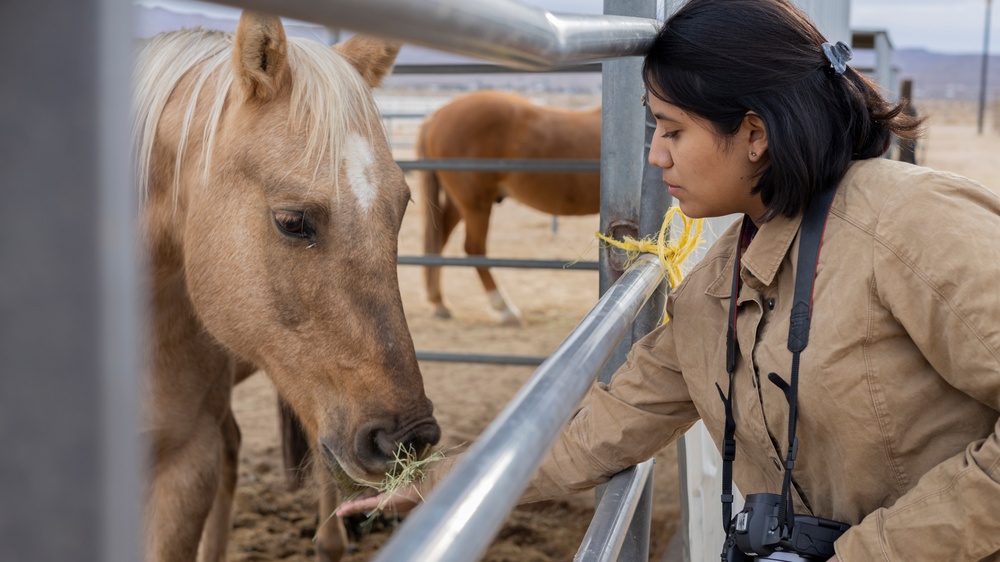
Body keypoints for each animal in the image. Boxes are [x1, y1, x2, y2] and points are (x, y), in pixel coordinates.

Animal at [416, 88, 596, 324]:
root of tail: (437, 115)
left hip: (460, 203)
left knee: (439, 239)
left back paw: (439, 303)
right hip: (476, 204)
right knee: (474, 248)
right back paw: (505, 309)